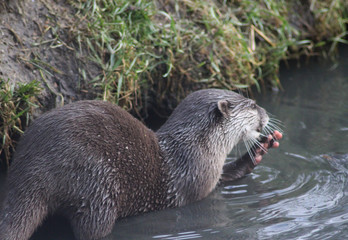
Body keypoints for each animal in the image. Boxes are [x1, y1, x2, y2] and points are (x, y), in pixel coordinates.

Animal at [0, 88, 282, 240]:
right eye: (253, 105)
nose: (266, 113)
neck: (198, 146)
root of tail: (30, 169)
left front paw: (259, 152)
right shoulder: (198, 176)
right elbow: (212, 187)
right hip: (96, 184)